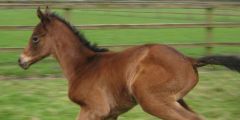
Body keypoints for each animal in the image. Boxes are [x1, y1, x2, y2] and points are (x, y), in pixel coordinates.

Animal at [18, 7, 240, 120]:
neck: (83, 65)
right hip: (176, 99)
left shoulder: (94, 109)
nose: (21, 61)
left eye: (35, 38)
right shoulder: (109, 114)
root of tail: (188, 59)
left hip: (152, 99)